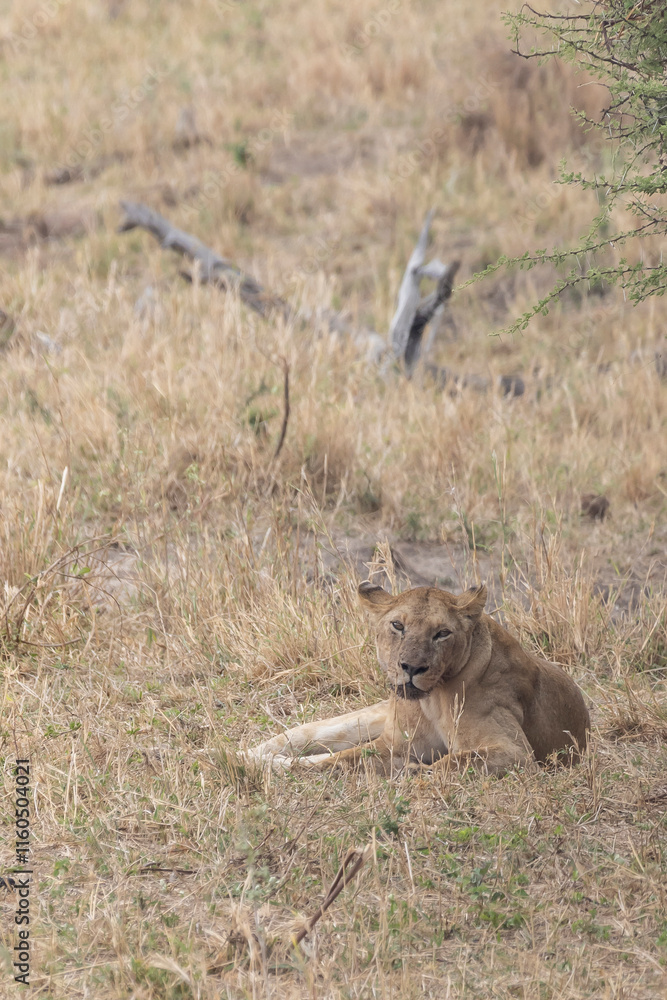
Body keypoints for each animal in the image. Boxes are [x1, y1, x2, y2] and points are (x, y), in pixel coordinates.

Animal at [245, 582, 590, 776]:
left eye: (442, 633)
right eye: (398, 625)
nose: (411, 667)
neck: (432, 700)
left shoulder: (515, 753)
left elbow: (449, 764)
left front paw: (410, 771)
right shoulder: (394, 742)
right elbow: (338, 759)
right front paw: (268, 764)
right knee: (303, 733)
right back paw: (243, 755)